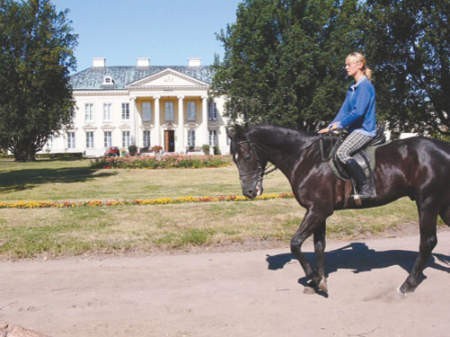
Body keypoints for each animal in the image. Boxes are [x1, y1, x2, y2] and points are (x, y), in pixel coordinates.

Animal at [230, 124, 448, 292]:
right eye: (234, 158)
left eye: (247, 156)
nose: (249, 191)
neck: (306, 158)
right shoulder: (317, 211)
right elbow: (319, 246)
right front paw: (320, 281)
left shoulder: (318, 210)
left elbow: (295, 243)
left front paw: (313, 277)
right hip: (441, 204)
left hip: (427, 201)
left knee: (427, 241)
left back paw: (408, 284)